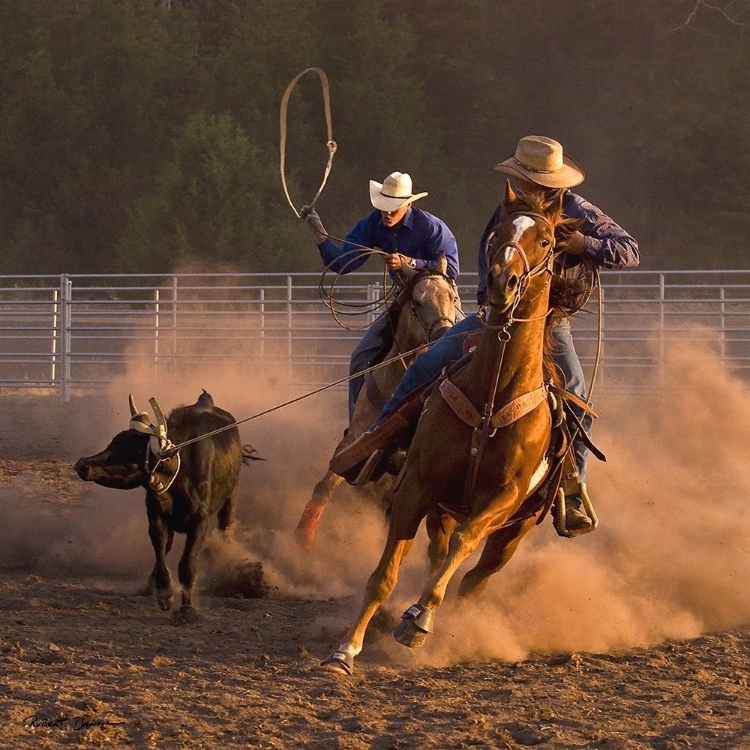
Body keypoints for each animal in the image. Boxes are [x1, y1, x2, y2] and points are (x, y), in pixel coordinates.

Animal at [296, 256, 462, 548]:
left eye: (452, 297)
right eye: (417, 301)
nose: (443, 334)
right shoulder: (354, 442)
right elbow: (324, 486)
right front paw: (303, 537)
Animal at [324, 187, 568, 676]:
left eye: (547, 240)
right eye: (497, 232)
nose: (502, 281)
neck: (491, 394)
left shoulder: (503, 497)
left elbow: (464, 544)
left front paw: (419, 621)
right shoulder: (417, 485)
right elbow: (383, 577)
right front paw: (346, 649)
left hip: (516, 528)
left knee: (473, 577)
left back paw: (441, 618)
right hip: (441, 504)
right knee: (441, 555)